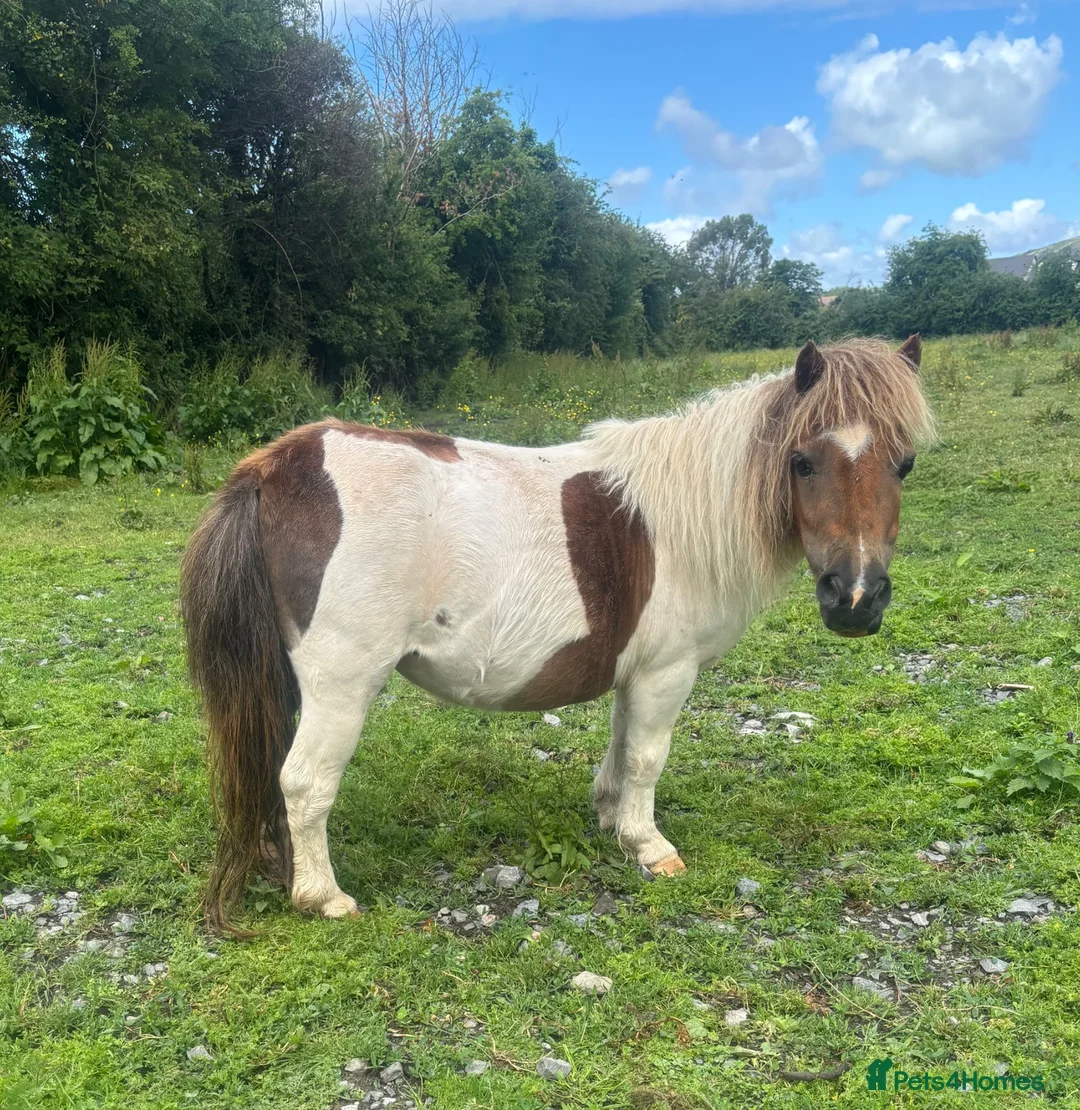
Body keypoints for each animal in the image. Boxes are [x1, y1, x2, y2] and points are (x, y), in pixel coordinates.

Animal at [181, 337, 933, 929]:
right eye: (802, 461)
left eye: (905, 464)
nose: (856, 599)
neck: (683, 516)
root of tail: (275, 465)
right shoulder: (668, 672)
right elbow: (647, 758)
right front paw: (649, 846)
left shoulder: (637, 671)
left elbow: (621, 745)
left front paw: (611, 820)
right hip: (342, 684)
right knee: (305, 781)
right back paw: (322, 896)